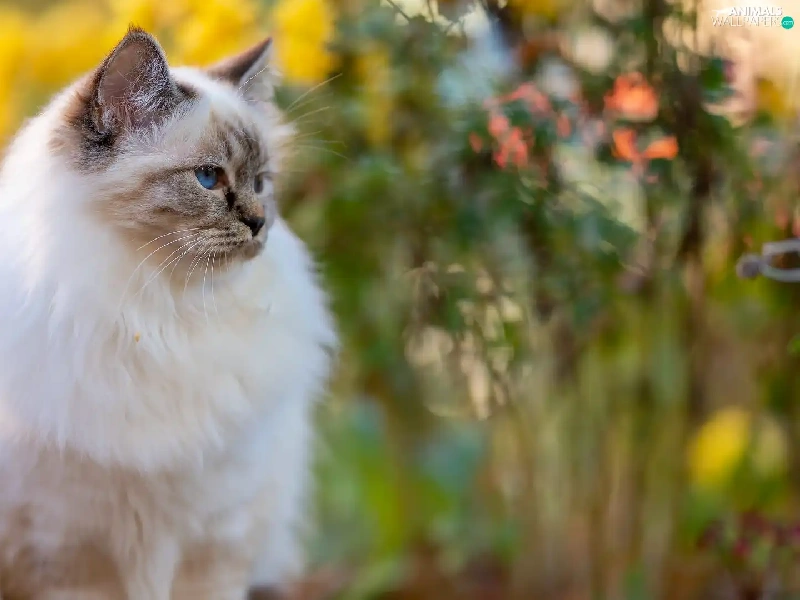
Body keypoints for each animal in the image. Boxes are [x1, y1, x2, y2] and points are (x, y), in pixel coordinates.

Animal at [0, 26, 336, 600]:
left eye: (261, 183)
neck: (158, 316)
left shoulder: (215, 544)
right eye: (207, 178)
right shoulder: (68, 554)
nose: (259, 223)